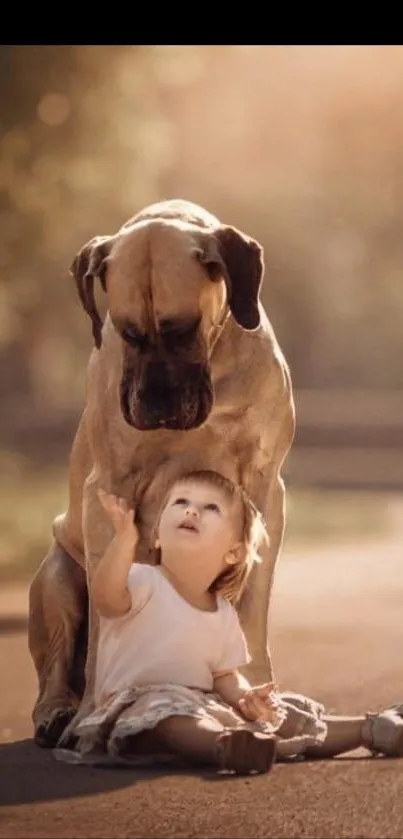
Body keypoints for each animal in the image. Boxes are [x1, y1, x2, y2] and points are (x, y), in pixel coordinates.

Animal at [27, 202, 294, 748]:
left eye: (182, 330)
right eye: (127, 332)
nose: (155, 405)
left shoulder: (264, 492)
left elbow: (251, 611)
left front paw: (258, 697)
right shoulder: (107, 494)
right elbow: (104, 629)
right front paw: (92, 714)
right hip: (56, 579)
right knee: (58, 663)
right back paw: (59, 711)